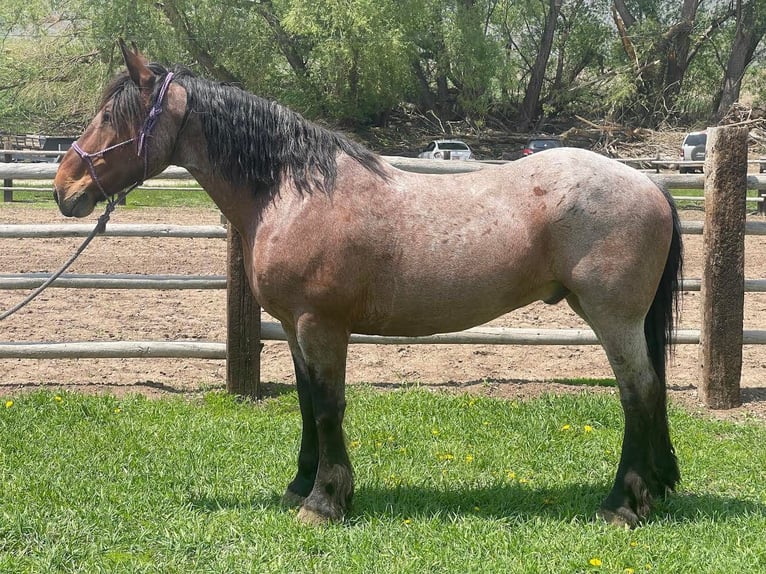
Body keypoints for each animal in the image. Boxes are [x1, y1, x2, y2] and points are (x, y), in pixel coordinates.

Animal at [54, 39, 684, 528]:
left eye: (113, 117)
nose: (65, 188)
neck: (295, 192)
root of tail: (648, 183)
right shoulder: (294, 328)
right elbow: (307, 401)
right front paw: (302, 485)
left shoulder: (321, 325)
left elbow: (329, 406)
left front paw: (324, 501)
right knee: (649, 394)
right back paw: (651, 491)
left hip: (612, 318)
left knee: (638, 393)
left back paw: (620, 505)